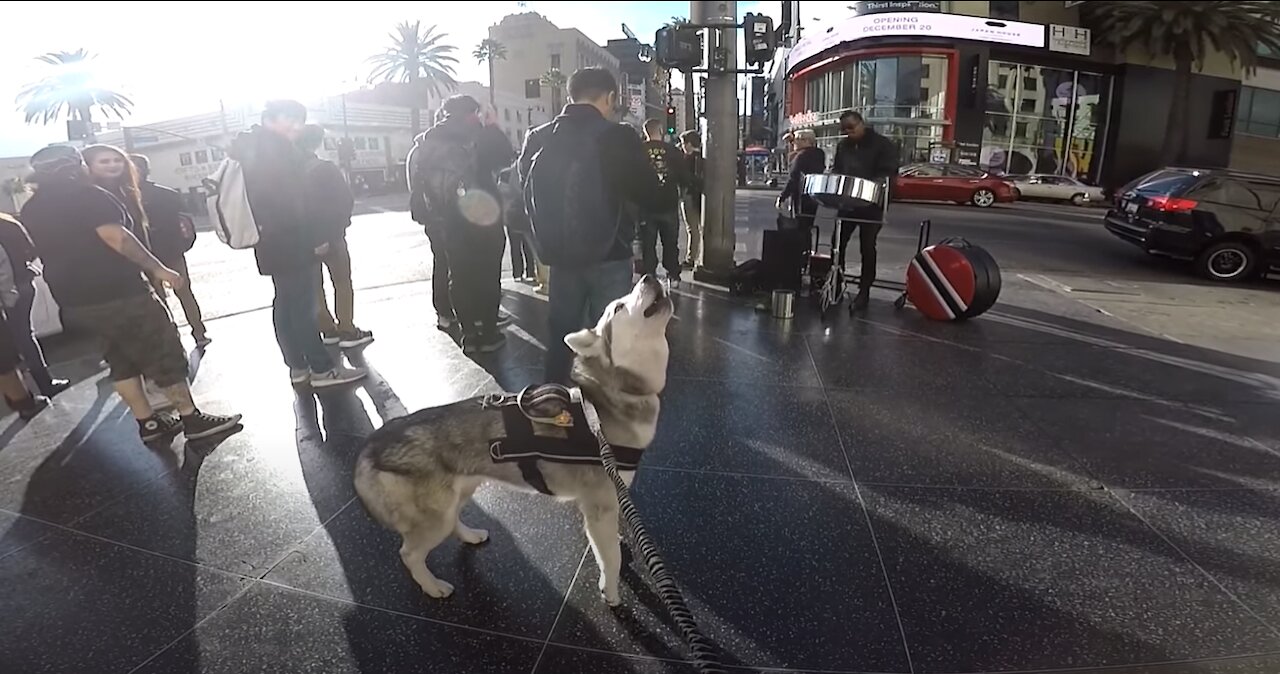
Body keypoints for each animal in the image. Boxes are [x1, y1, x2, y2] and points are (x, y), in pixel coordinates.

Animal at [350, 276, 670, 606]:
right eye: (619, 307)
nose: (649, 277)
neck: (608, 400)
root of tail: (373, 443)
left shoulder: (603, 503)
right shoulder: (599, 504)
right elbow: (611, 558)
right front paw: (611, 590)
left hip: (459, 494)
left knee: (453, 522)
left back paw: (470, 536)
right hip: (434, 518)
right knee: (410, 553)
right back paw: (432, 586)